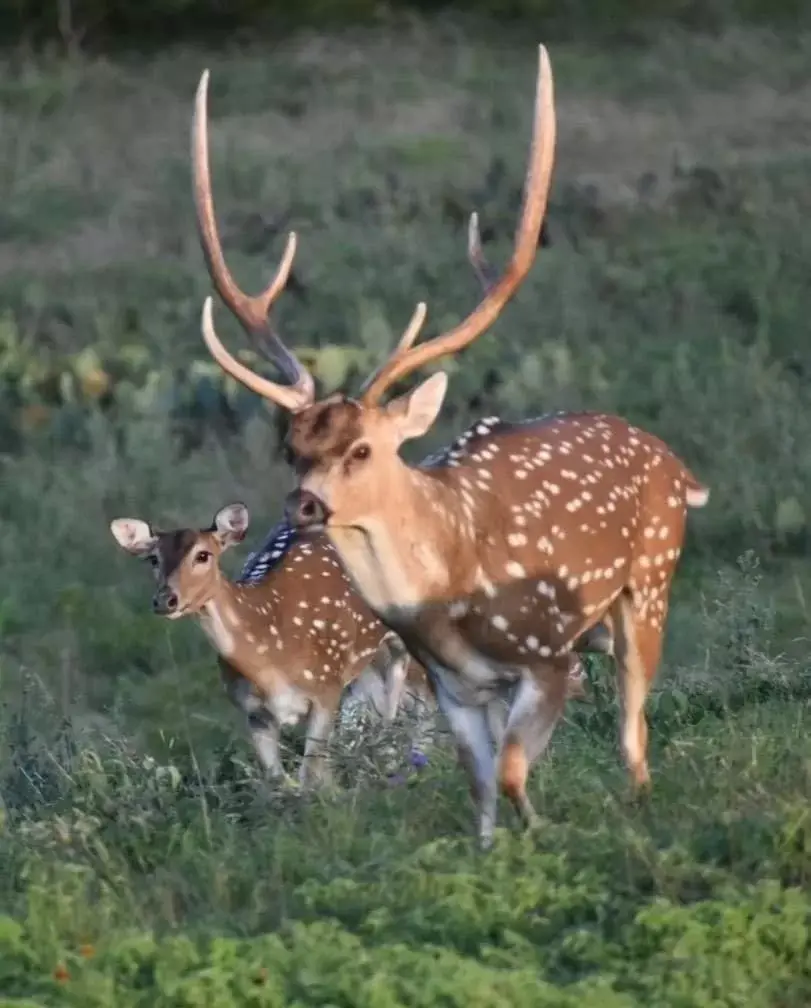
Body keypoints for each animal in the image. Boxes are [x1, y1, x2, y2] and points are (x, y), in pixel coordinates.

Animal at [112, 504, 437, 786]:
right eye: (153, 558)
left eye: (203, 555)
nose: (165, 599)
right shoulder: (253, 711)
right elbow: (279, 782)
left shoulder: (326, 687)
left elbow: (311, 776)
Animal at [188, 43, 701, 846]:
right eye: (291, 446)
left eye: (363, 449)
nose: (303, 506)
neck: (448, 592)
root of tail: (671, 459)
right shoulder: (453, 687)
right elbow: (481, 787)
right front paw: (493, 850)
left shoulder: (545, 656)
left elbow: (517, 772)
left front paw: (547, 837)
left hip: (648, 577)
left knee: (633, 724)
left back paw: (639, 807)